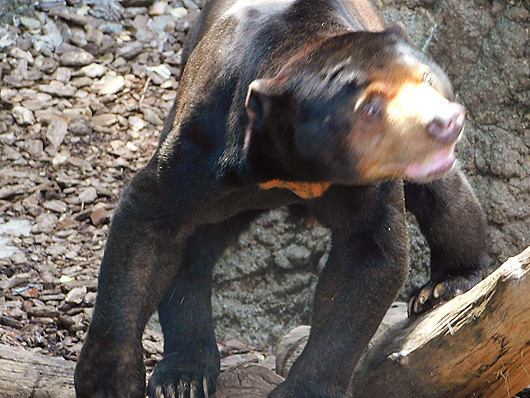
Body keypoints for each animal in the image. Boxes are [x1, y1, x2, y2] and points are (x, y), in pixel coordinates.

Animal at [75, 0, 486, 396]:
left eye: (426, 78)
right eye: (370, 108)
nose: (445, 122)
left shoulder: (371, 187)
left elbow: (368, 258)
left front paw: (305, 388)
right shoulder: (203, 144)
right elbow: (148, 228)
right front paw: (109, 381)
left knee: (448, 198)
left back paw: (444, 288)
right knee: (193, 254)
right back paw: (183, 377)